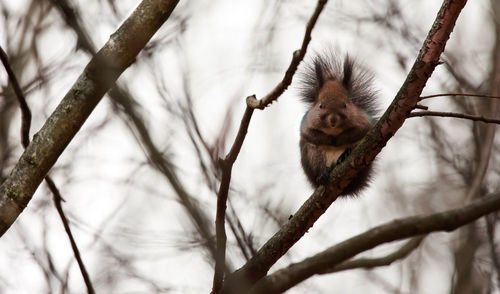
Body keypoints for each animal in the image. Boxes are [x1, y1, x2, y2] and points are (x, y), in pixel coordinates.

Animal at [296, 51, 378, 195]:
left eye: (345, 105)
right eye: (320, 106)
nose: (333, 119)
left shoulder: (362, 120)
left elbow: (361, 131)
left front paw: (338, 140)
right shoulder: (306, 123)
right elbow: (309, 134)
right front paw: (329, 140)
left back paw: (345, 155)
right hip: (314, 156)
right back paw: (323, 174)